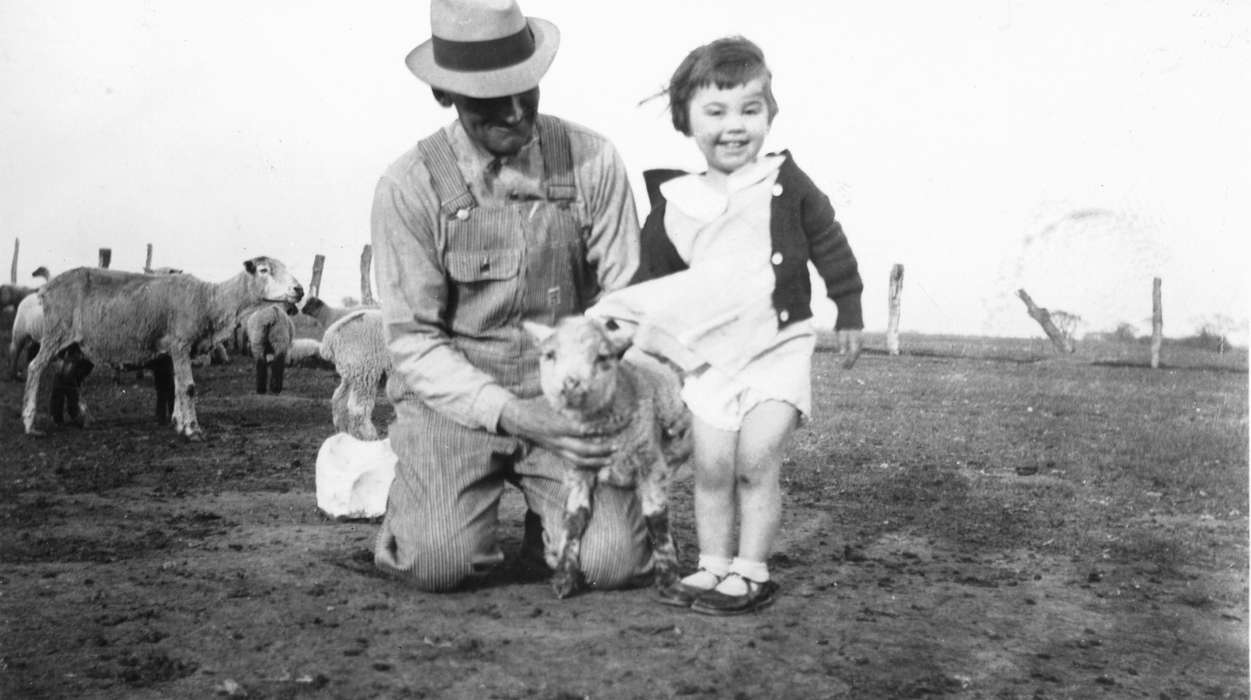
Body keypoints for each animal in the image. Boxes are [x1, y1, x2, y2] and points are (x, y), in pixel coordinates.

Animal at [23, 253, 301, 437]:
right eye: (264, 270)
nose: (299, 289)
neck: (209, 301)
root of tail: (46, 288)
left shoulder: (178, 350)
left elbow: (176, 386)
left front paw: (178, 422)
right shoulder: (180, 344)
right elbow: (187, 387)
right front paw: (192, 429)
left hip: (79, 347)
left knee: (70, 377)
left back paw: (82, 418)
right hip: (56, 332)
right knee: (36, 367)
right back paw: (30, 423)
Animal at [320, 308, 387, 440]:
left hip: (351, 373)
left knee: (339, 400)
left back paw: (345, 433)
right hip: (365, 370)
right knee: (357, 408)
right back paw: (369, 436)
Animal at [520, 315, 690, 600]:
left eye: (602, 357)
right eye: (550, 355)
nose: (570, 384)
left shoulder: (651, 465)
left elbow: (656, 519)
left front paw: (669, 581)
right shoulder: (577, 470)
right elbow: (573, 520)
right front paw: (565, 577)